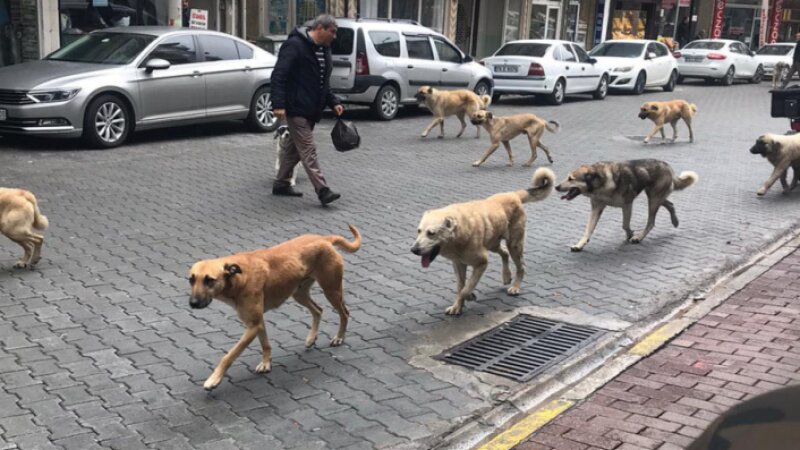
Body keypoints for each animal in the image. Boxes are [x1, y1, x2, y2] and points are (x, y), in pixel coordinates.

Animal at [189, 225, 360, 390]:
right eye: (191, 280)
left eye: (209, 280)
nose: (193, 303)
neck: (239, 278)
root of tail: (324, 238)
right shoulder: (257, 322)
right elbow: (265, 344)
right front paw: (266, 363)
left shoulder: (253, 325)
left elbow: (229, 355)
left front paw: (214, 379)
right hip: (299, 293)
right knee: (318, 310)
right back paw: (311, 338)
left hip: (331, 290)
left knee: (344, 313)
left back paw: (339, 337)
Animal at [410, 167, 552, 314]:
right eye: (418, 231)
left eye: (431, 233)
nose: (413, 250)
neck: (460, 234)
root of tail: (513, 194)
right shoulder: (458, 264)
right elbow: (461, 286)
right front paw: (457, 306)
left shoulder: (481, 263)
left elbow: (466, 288)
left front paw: (468, 296)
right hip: (493, 243)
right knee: (504, 252)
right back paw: (506, 276)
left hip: (514, 245)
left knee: (521, 266)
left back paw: (515, 286)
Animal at [556, 161, 692, 253]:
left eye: (570, 179)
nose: (556, 187)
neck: (600, 182)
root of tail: (667, 165)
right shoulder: (596, 208)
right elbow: (588, 229)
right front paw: (579, 245)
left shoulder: (627, 204)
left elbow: (625, 224)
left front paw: (630, 234)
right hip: (655, 196)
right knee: (670, 204)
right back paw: (675, 221)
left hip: (653, 199)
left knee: (651, 222)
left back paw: (639, 237)